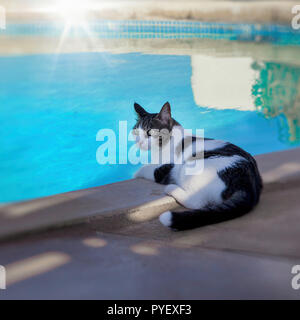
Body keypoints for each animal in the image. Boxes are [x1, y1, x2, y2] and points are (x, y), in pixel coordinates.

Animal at [132, 102, 262, 230]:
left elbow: (145, 169)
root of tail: (248, 184)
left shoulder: (165, 169)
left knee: (197, 202)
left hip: (188, 167)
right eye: (136, 132)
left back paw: (171, 188)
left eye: (149, 132)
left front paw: (136, 173)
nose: (139, 143)